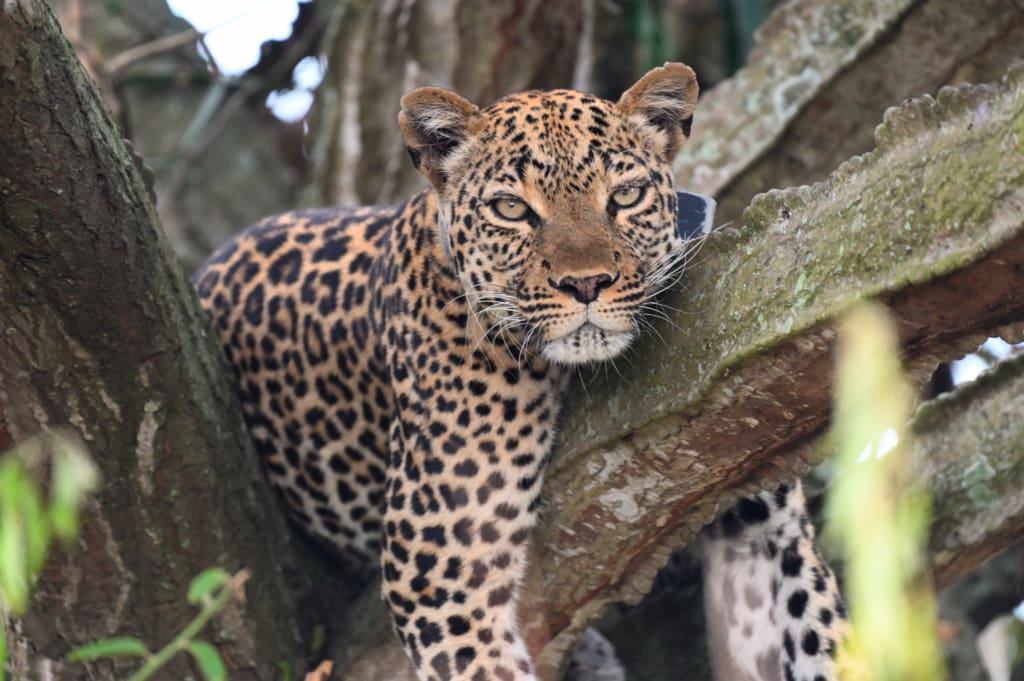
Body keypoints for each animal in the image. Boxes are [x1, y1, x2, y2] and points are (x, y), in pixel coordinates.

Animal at [193, 63, 845, 681]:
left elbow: (825, 639)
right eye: (512, 209)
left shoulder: (764, 525)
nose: (586, 284)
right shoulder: (440, 578)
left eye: (626, 196)